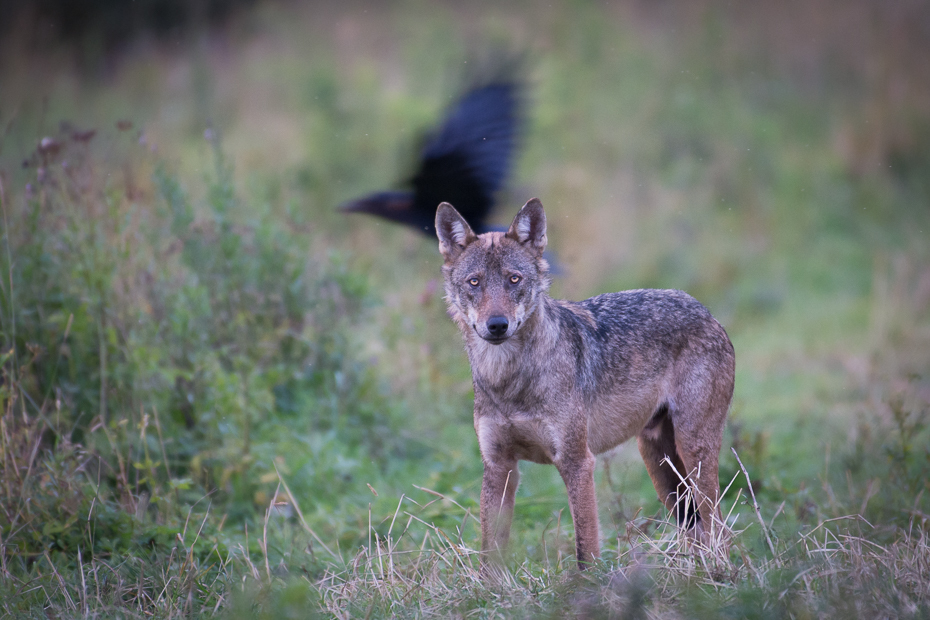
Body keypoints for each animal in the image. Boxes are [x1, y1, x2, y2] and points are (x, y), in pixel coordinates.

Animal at [434, 199, 732, 572]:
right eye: (474, 282)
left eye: (514, 279)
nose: (497, 325)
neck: (510, 382)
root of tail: (707, 311)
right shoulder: (498, 467)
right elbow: (490, 553)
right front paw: (489, 587)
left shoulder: (577, 462)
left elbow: (585, 548)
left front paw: (587, 586)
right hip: (660, 463)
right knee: (697, 528)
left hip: (693, 452)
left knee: (719, 526)